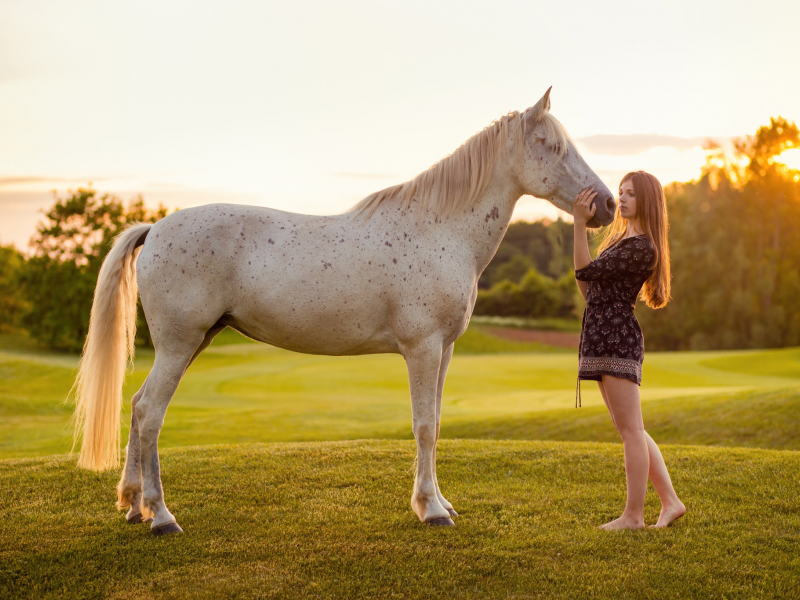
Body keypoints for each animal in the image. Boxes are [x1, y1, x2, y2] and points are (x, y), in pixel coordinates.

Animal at [73, 88, 612, 536]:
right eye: (550, 145)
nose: (605, 204)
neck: (442, 229)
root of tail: (155, 229)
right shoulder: (422, 348)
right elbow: (423, 426)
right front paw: (430, 511)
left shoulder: (445, 351)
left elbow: (436, 423)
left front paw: (440, 502)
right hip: (180, 344)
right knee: (149, 412)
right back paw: (161, 516)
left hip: (191, 343)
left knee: (137, 407)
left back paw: (133, 505)